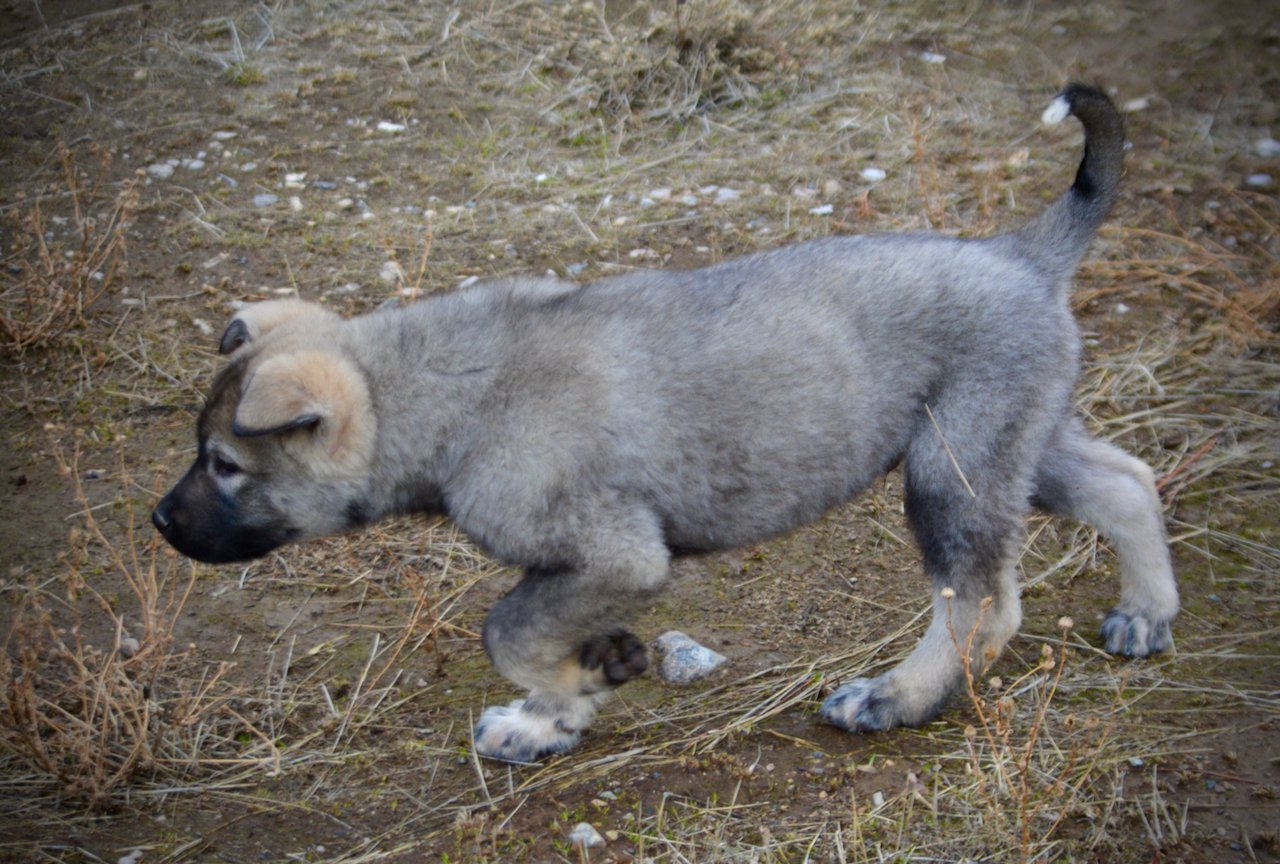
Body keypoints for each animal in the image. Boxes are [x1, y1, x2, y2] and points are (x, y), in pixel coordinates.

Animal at [152, 86, 1177, 762]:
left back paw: (892, 698)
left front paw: (565, 694)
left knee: (982, 604)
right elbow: (533, 633)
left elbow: (506, 631)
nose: (160, 522)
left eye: (226, 464)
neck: (442, 393)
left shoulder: (615, 555)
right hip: (1011, 445)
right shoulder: (576, 570)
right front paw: (559, 709)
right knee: (1126, 481)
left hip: (951, 469)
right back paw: (1145, 614)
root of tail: (1024, 251)